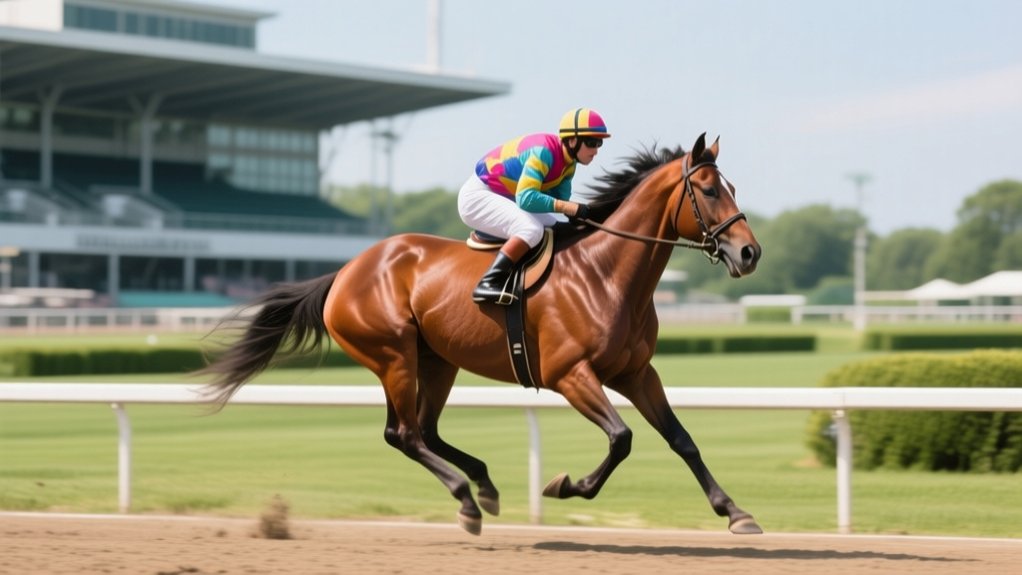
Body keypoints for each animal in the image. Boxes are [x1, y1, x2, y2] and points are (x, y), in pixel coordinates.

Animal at [201, 132, 763, 536]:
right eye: (709, 190)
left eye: (733, 188)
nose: (749, 252)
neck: (605, 274)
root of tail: (345, 272)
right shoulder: (569, 374)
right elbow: (622, 438)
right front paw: (565, 485)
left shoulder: (636, 372)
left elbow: (681, 439)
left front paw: (735, 511)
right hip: (393, 356)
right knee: (404, 434)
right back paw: (467, 499)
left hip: (436, 360)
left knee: (424, 431)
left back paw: (484, 486)